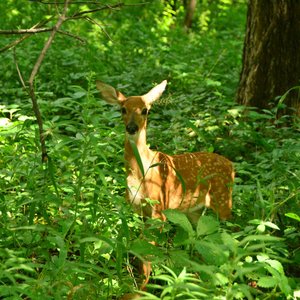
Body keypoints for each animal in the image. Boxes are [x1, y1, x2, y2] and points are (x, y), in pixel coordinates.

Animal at [96, 79, 234, 290]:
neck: (142, 172)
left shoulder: (159, 208)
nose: (132, 128)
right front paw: (140, 286)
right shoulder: (138, 208)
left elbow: (149, 251)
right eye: (122, 109)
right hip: (194, 210)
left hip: (223, 199)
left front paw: (144, 289)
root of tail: (232, 165)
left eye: (145, 110)